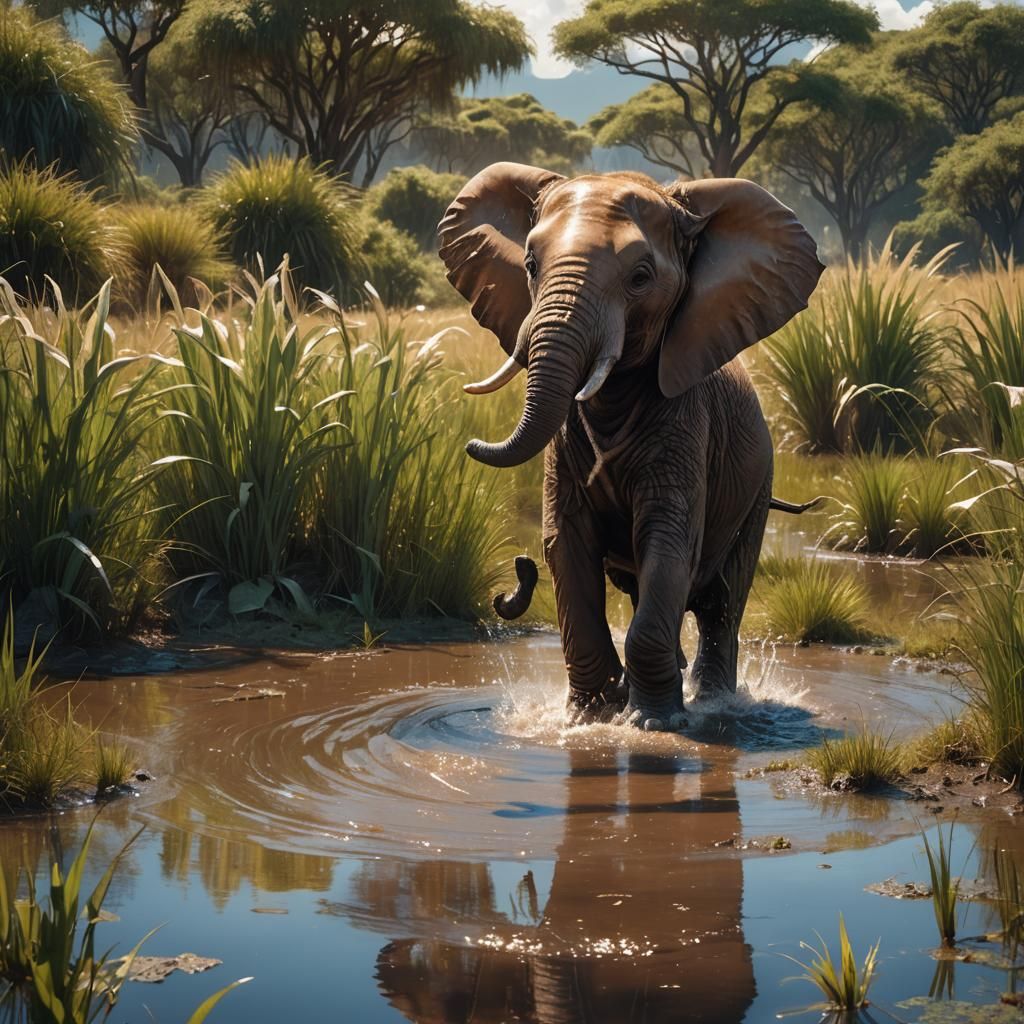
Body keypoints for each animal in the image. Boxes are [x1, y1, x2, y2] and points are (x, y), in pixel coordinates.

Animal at [437, 163, 824, 731]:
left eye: (641, 278)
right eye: (529, 265)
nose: (516, 572)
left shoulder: (689, 423)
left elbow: (667, 539)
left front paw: (653, 723)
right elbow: (566, 543)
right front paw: (591, 717)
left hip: (758, 485)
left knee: (722, 603)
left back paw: (712, 701)